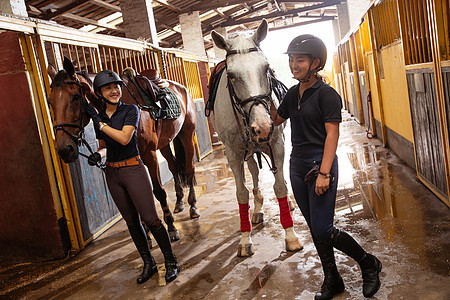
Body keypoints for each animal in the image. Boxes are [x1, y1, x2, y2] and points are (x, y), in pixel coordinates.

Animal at [46, 57, 200, 241]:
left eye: (76, 96)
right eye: (49, 101)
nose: (64, 149)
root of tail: (181, 88)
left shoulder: (149, 155)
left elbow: (159, 191)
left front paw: (170, 227)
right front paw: (147, 233)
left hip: (187, 135)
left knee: (189, 168)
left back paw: (193, 206)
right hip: (164, 143)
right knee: (174, 166)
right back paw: (179, 202)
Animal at [210, 19, 302, 256]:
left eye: (266, 68)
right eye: (231, 76)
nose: (262, 127)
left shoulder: (277, 143)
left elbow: (280, 187)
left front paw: (291, 236)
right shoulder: (233, 153)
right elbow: (242, 193)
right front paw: (245, 239)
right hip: (249, 150)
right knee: (253, 170)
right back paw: (258, 208)